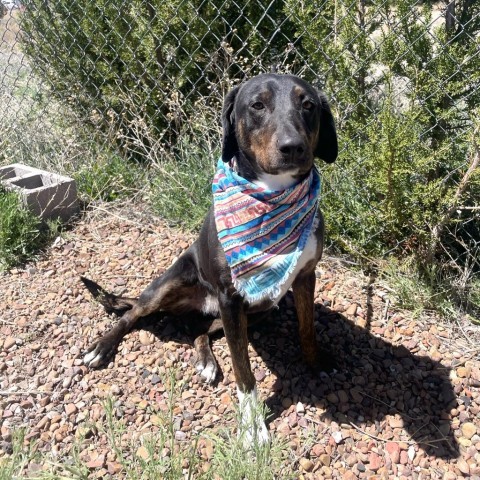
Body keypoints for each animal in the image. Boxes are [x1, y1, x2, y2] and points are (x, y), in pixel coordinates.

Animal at [81, 73, 338, 444]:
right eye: (257, 105)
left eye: (309, 105)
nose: (293, 147)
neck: (273, 195)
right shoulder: (231, 297)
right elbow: (244, 372)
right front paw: (253, 425)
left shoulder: (304, 277)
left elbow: (307, 329)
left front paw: (315, 363)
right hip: (173, 285)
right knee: (131, 314)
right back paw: (102, 347)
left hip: (257, 310)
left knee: (200, 331)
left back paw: (206, 360)